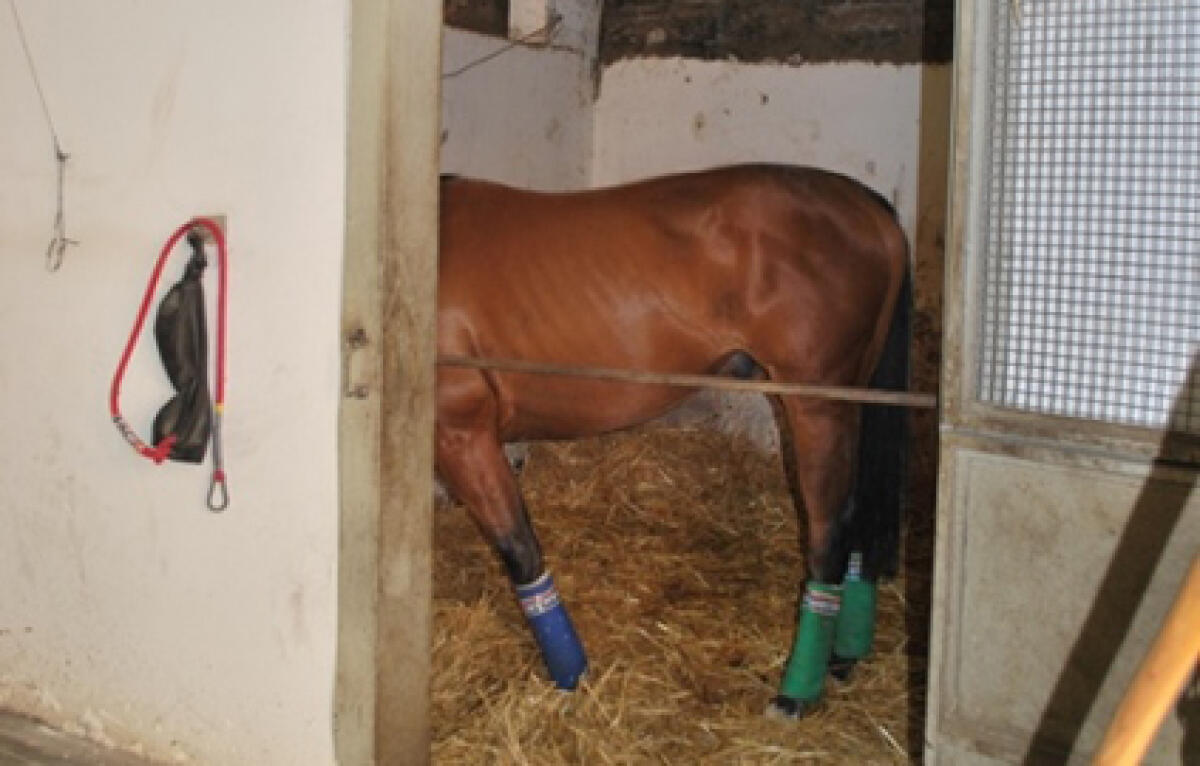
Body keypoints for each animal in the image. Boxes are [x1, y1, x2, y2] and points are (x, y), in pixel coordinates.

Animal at [436, 164, 911, 718]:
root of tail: (865, 204)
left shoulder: (463, 434)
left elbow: (520, 550)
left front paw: (572, 674)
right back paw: (842, 658)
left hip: (817, 410)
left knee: (829, 532)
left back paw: (797, 691)